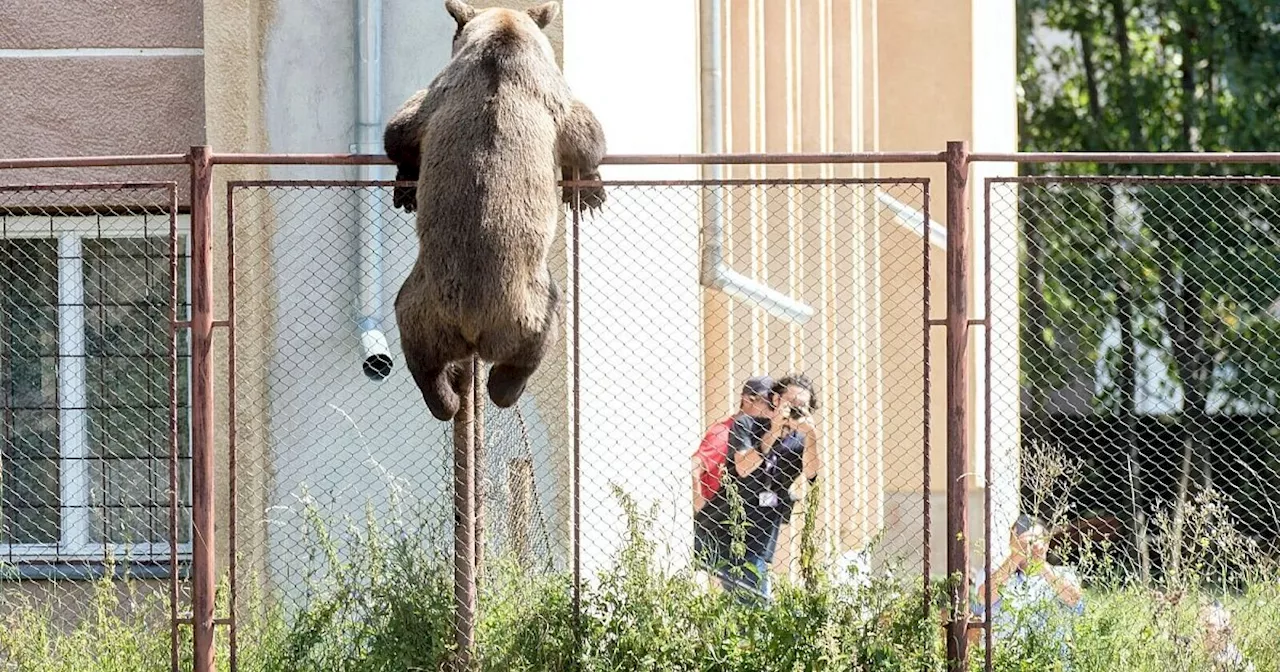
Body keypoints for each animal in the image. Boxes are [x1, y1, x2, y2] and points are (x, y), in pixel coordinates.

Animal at [381, 0, 606, 419]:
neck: (503, 36)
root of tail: (471, 326)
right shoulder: (546, 93)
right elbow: (586, 134)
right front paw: (590, 190)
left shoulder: (437, 100)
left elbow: (400, 133)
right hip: (525, 306)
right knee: (536, 339)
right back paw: (501, 386)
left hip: (422, 303)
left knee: (420, 353)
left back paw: (447, 394)